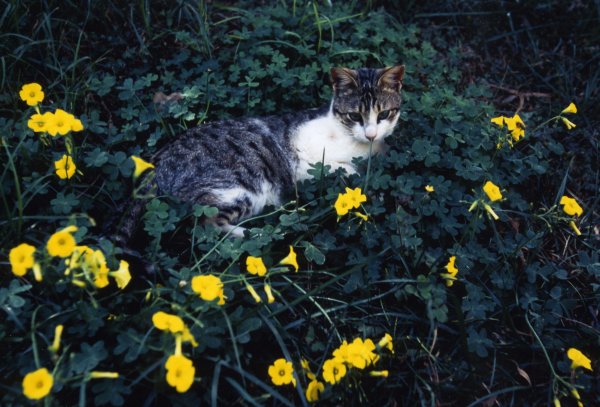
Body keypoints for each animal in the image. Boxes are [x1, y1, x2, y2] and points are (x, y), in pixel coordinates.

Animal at [123, 65, 404, 241]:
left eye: (384, 114)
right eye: (355, 116)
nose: (371, 134)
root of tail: (156, 162)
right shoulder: (305, 162)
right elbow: (347, 169)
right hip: (237, 189)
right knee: (205, 225)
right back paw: (258, 235)